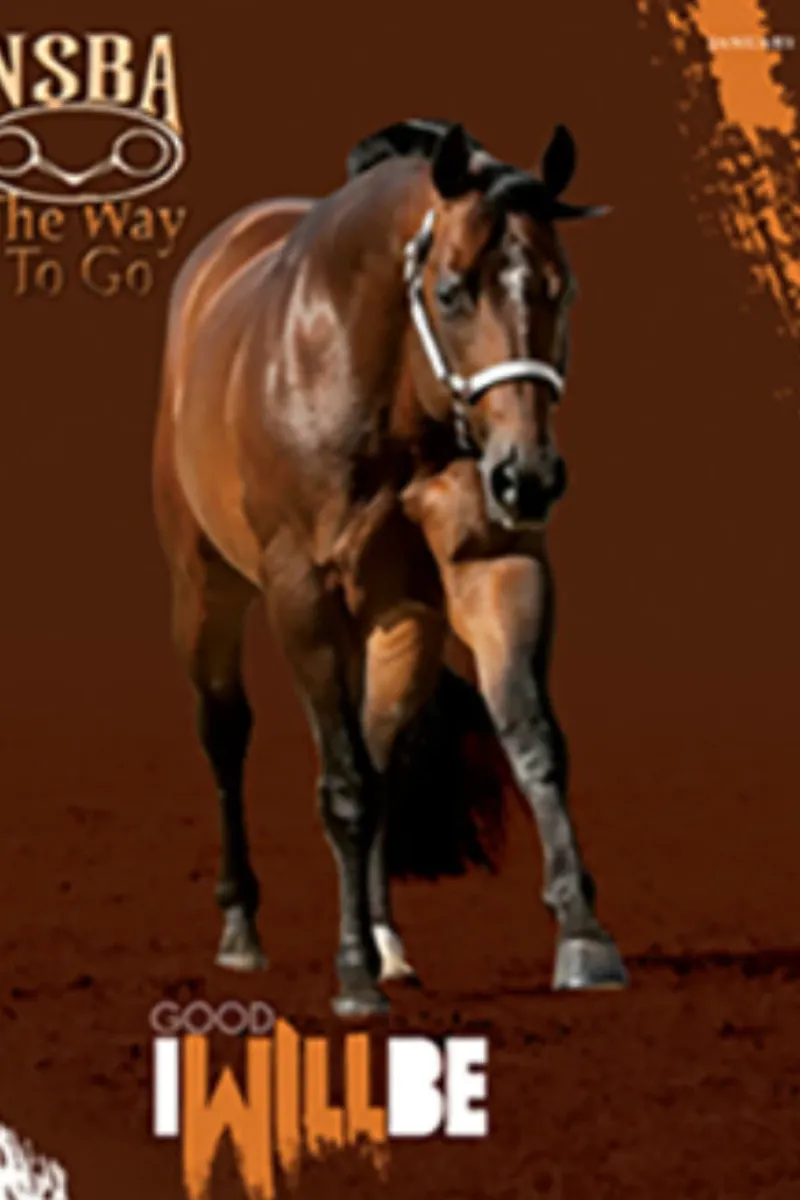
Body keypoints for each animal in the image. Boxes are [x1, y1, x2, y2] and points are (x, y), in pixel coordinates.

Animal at [152, 117, 628, 1016]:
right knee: (226, 733)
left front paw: (585, 938)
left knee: (380, 755)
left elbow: (531, 741)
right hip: (205, 585)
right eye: (451, 292)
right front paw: (350, 978)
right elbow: (342, 787)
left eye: (564, 290)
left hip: (398, 623)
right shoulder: (300, 593)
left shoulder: (491, 567)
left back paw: (385, 942)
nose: (528, 477)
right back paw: (245, 930)